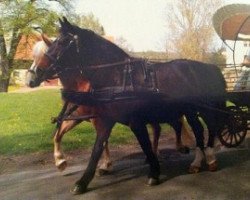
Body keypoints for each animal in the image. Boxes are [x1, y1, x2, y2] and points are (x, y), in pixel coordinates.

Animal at [25, 18, 227, 195]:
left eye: (63, 42)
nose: (34, 75)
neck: (116, 77)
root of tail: (209, 67)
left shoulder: (135, 121)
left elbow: (144, 145)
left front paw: (154, 173)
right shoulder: (105, 120)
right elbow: (96, 149)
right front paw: (82, 182)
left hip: (203, 109)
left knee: (208, 128)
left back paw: (209, 158)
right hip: (191, 111)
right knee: (198, 130)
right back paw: (197, 162)